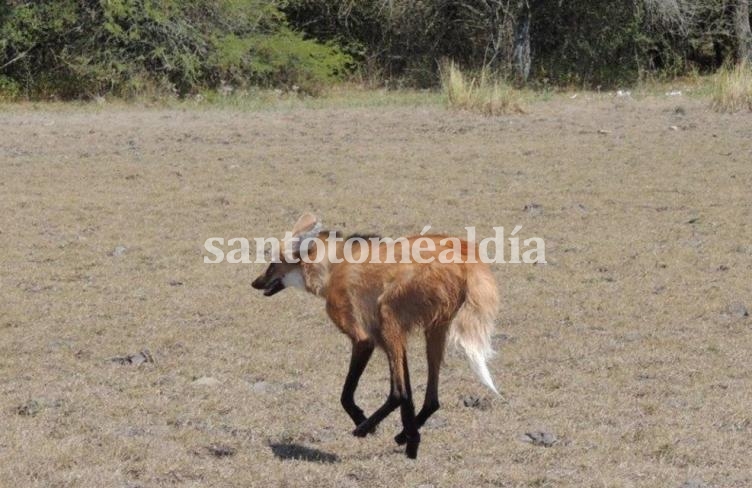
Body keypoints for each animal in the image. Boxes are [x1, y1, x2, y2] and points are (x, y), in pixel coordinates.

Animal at [251, 213, 500, 458]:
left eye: (272, 265)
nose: (254, 283)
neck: (333, 267)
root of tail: (467, 258)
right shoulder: (391, 337)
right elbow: (409, 396)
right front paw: (412, 439)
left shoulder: (364, 339)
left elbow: (348, 394)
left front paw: (363, 421)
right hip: (431, 328)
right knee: (431, 400)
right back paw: (404, 438)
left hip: (388, 313)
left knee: (397, 393)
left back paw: (365, 429)